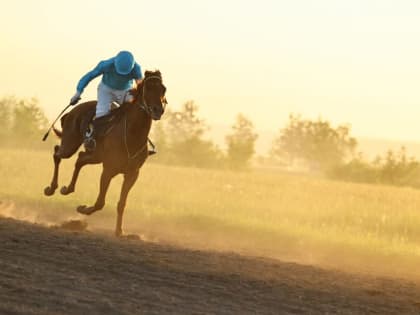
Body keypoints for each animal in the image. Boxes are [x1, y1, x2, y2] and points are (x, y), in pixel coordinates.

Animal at [43, 69, 167, 237]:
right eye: (148, 88)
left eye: (163, 89)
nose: (157, 110)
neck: (132, 135)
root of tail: (72, 111)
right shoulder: (108, 169)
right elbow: (100, 202)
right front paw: (83, 208)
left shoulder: (132, 173)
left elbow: (122, 203)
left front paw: (119, 231)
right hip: (70, 145)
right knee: (57, 153)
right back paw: (51, 188)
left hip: (96, 156)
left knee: (80, 159)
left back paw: (67, 189)